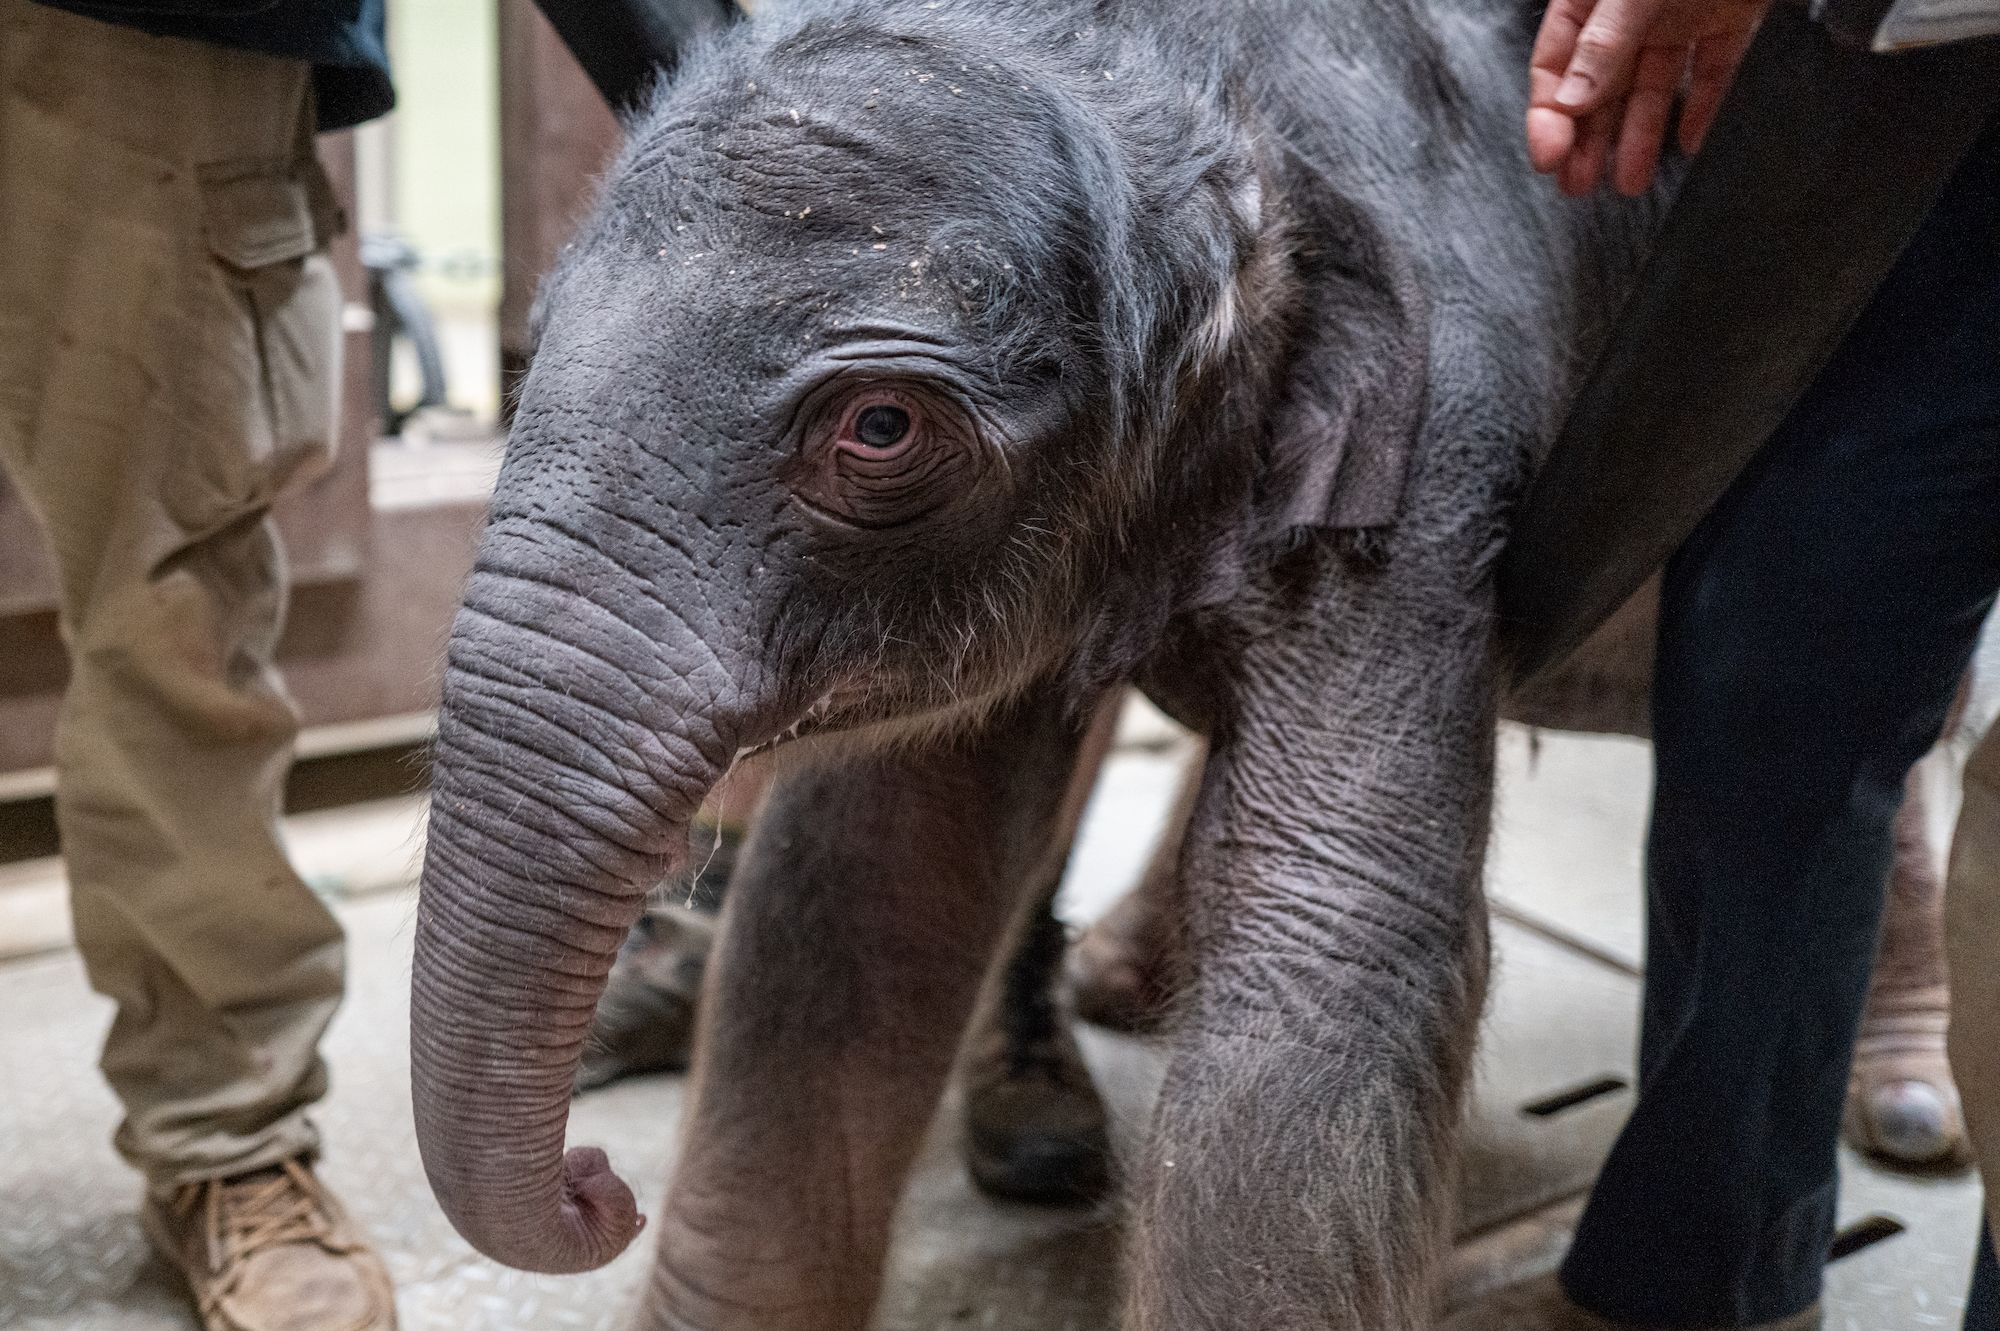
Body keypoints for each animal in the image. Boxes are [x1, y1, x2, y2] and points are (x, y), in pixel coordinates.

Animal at [407, 0, 1672, 1325]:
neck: (1226, 88)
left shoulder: (1430, 452)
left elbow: (1325, 948)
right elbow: (867, 879)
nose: (598, 1180)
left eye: (879, 427)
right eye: (532, 345)